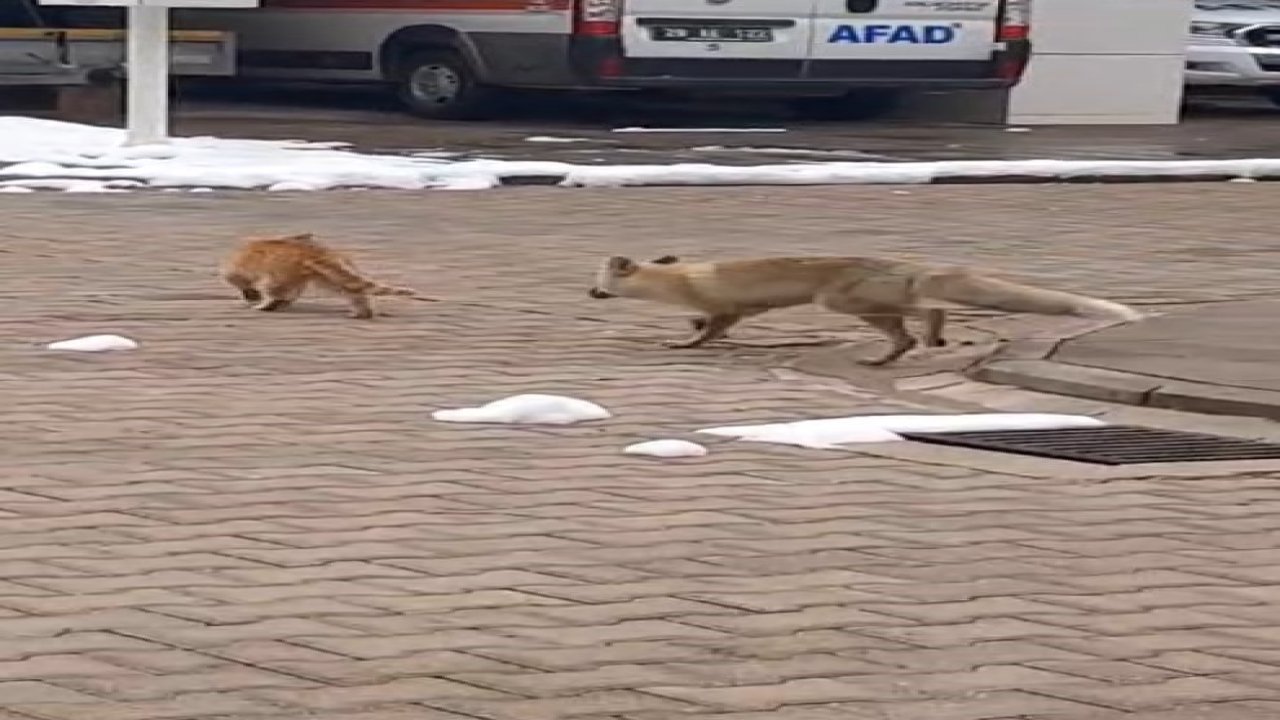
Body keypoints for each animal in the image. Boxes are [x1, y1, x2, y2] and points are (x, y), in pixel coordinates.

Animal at [220, 233, 414, 316]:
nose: (249, 296)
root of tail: (312, 252)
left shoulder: (239, 271)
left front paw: (254, 296)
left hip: (282, 270)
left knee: (271, 287)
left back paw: (267, 303)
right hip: (321, 272)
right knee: (347, 288)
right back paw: (363, 309)